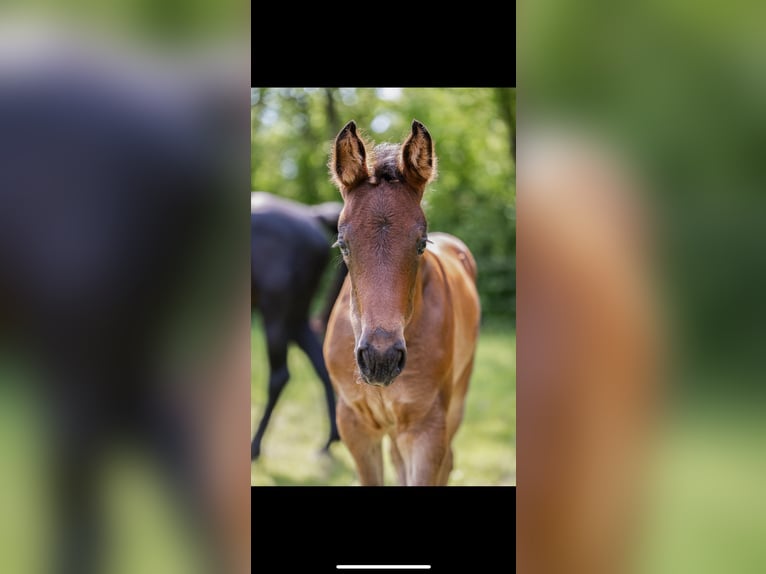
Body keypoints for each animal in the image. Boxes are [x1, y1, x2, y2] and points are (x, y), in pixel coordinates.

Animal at [250, 192, 345, 460]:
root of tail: (310, 216)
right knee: (322, 364)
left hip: (277, 316)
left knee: (279, 377)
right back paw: (329, 440)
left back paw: (254, 447)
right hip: (295, 317)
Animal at [323, 120, 481, 486]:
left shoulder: (427, 428)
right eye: (342, 244)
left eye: (422, 243)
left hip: (456, 399)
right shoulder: (354, 425)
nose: (380, 359)